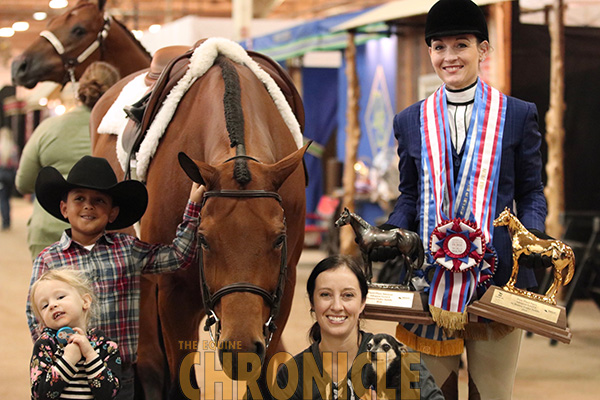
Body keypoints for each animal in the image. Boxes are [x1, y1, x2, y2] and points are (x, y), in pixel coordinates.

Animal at [91, 42, 308, 398]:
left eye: (279, 238)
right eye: (202, 238)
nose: (240, 349)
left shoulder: (283, 290)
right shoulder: (172, 291)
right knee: (150, 363)